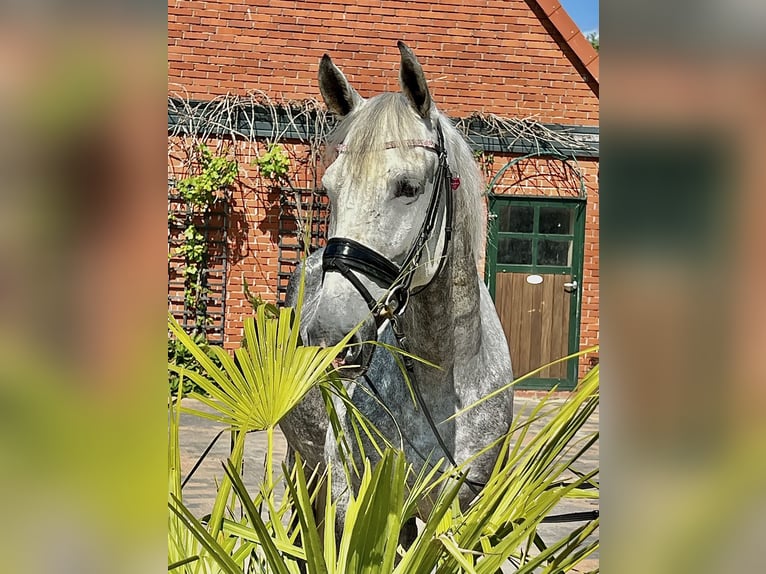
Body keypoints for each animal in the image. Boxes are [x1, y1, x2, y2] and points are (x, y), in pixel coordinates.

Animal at [282, 41, 516, 540]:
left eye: (407, 187)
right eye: (328, 189)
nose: (331, 338)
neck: (444, 376)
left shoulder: (460, 514)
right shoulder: (354, 501)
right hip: (304, 468)